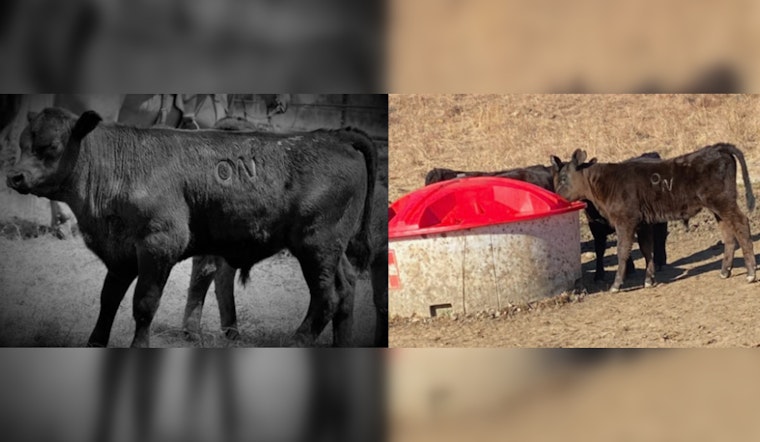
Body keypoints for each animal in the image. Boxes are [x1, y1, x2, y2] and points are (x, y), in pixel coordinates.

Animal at [6, 107, 376, 347]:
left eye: (50, 146)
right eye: (23, 144)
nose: (15, 176)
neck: (118, 164)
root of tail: (335, 137)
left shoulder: (158, 246)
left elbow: (144, 304)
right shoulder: (121, 254)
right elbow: (108, 299)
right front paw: (95, 342)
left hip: (316, 246)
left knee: (327, 296)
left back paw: (297, 341)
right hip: (332, 250)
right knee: (346, 289)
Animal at [550, 143, 755, 292]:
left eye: (563, 178)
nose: (556, 197)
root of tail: (717, 148)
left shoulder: (625, 220)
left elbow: (622, 251)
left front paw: (616, 285)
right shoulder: (643, 223)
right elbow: (646, 249)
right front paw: (649, 280)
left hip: (723, 201)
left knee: (741, 224)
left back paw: (751, 273)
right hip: (718, 208)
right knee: (728, 234)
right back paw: (725, 271)